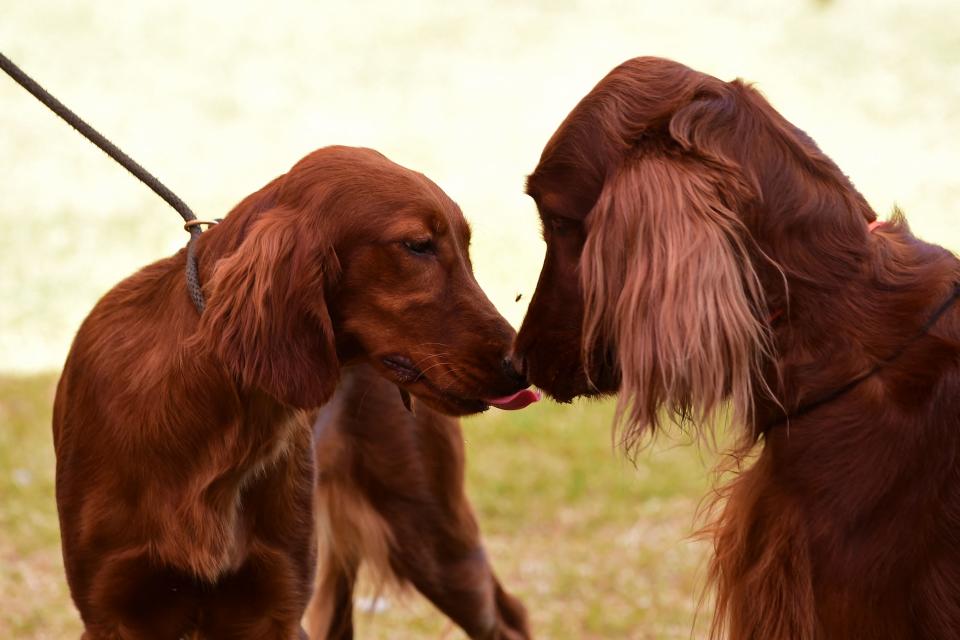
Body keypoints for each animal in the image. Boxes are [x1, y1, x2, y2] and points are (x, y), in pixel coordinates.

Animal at [54, 146, 532, 640]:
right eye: (417, 245)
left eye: (466, 248)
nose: (521, 366)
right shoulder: (113, 613)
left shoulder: (274, 607)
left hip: (431, 532)